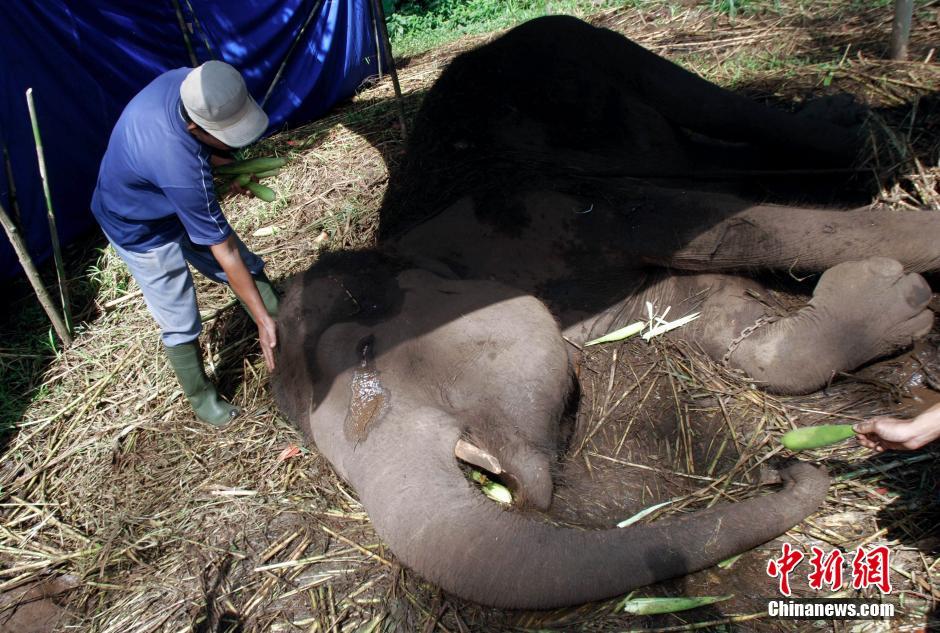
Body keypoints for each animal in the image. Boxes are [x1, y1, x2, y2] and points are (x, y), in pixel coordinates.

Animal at [270, 14, 932, 608]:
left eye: (364, 351)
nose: (784, 471)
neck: (414, 245)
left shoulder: (554, 207)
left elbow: (734, 230)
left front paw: (912, 268)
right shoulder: (596, 306)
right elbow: (705, 314)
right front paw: (894, 297)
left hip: (586, 42)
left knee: (713, 106)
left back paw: (856, 131)